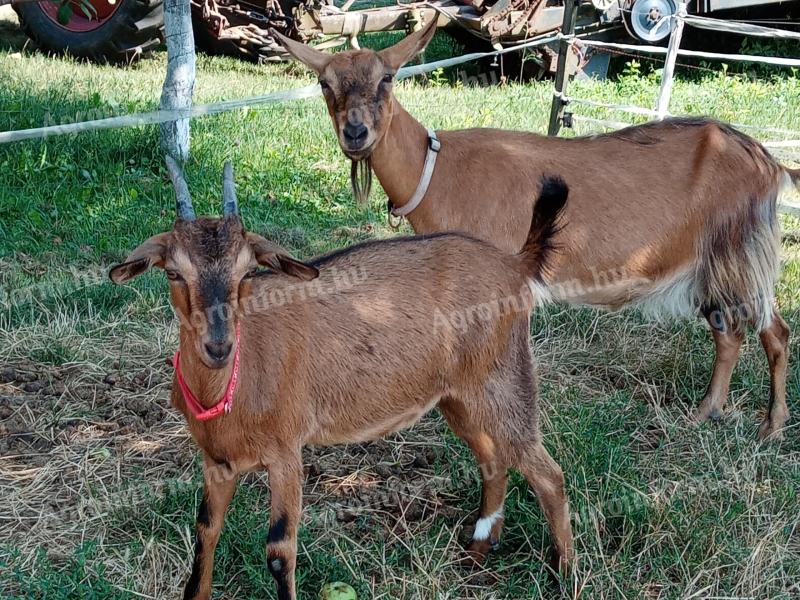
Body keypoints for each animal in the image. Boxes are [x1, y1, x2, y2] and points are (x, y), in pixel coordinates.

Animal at [111, 159, 576, 600]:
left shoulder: (286, 453)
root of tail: (514, 264)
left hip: (503, 381)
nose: (219, 346)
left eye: (246, 272)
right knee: (494, 459)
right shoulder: (217, 462)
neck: (231, 388)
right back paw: (480, 545)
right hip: (458, 398)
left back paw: (565, 574)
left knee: (549, 474)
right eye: (173, 272)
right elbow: (206, 528)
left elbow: (279, 550)